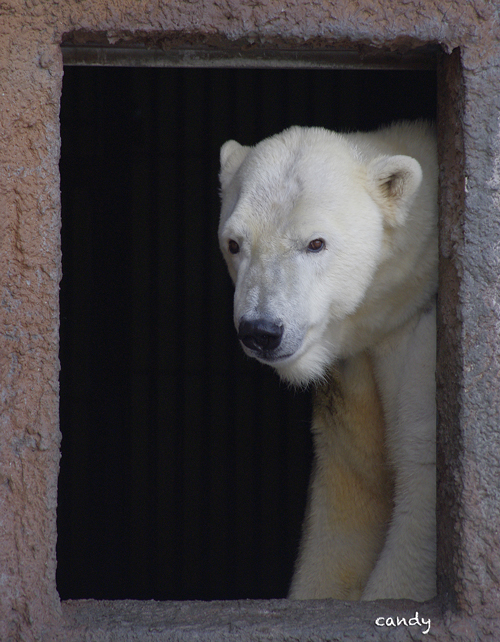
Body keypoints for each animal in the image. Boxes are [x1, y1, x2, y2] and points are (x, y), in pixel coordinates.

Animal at [219, 121, 438, 600]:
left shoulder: (417, 344)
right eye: (234, 243)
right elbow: (349, 499)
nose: (262, 330)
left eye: (315, 243)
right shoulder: (350, 381)